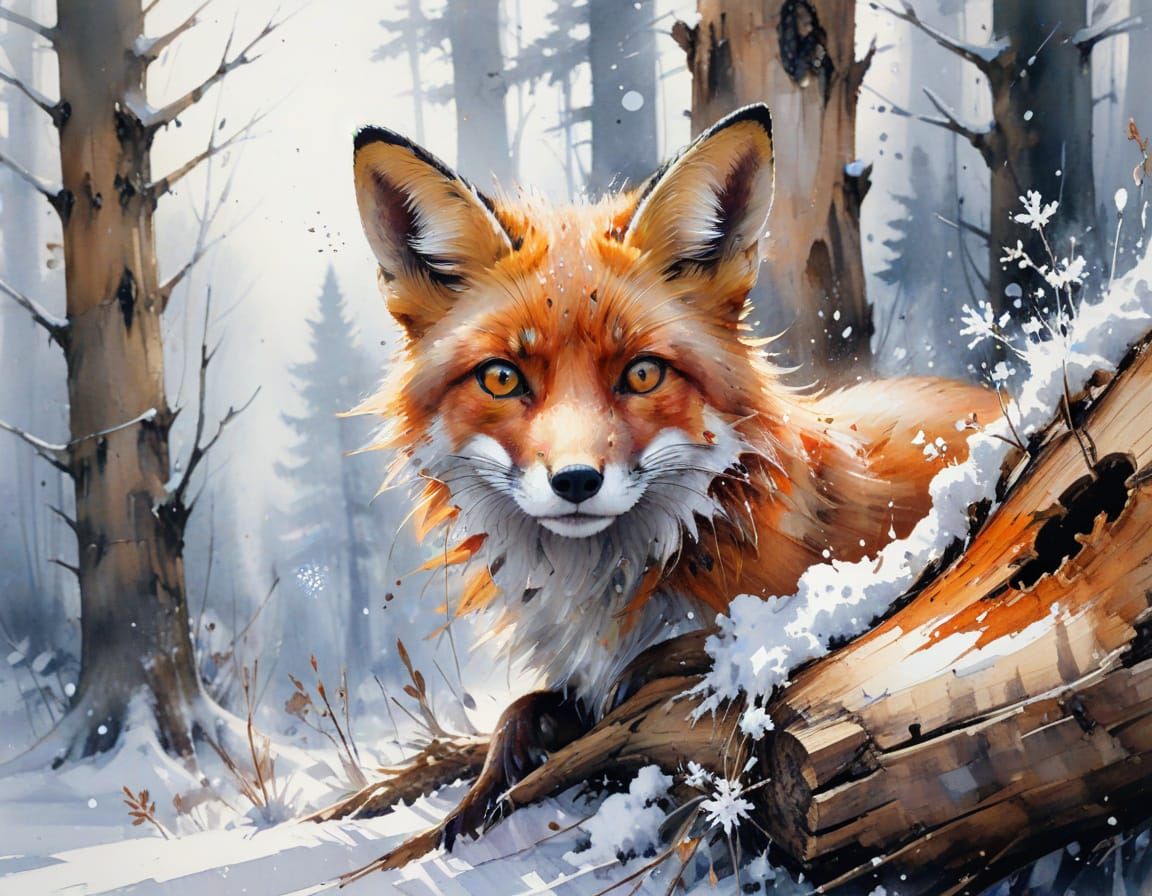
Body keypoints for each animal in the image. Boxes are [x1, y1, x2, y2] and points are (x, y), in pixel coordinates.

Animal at [351, 104, 1002, 847]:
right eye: (502, 378)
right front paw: (454, 806)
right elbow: (519, 714)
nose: (576, 482)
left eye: (642, 373)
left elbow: (653, 687)